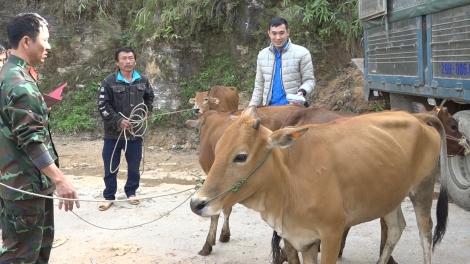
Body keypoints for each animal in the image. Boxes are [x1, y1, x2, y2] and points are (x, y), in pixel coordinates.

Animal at [190, 106, 448, 264]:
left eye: (241, 156)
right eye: (218, 148)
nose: (196, 203)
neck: (288, 179)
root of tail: (418, 118)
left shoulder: (332, 234)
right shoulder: (303, 241)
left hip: (422, 189)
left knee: (425, 232)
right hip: (389, 196)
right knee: (395, 228)